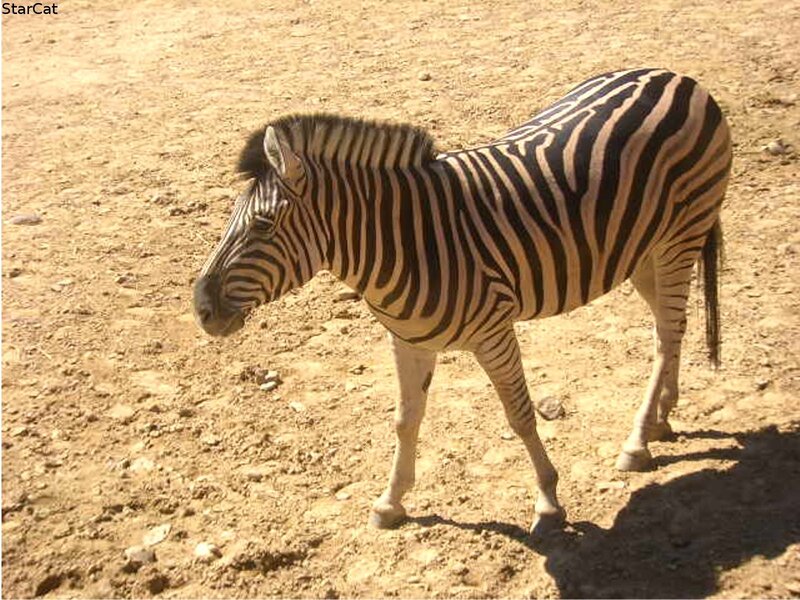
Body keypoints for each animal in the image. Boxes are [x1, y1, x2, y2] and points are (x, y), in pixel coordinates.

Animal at [193, 68, 731, 536]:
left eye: (263, 225)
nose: (200, 309)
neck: (404, 242)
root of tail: (674, 76)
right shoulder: (406, 340)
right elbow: (404, 420)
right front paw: (390, 502)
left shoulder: (495, 331)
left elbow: (520, 415)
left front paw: (548, 502)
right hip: (641, 251)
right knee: (672, 327)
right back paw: (662, 418)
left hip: (680, 236)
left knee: (665, 335)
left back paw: (638, 441)